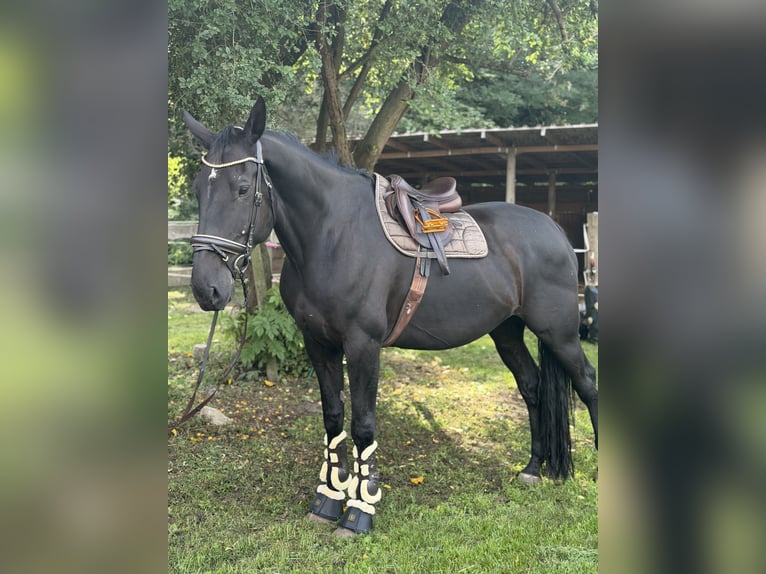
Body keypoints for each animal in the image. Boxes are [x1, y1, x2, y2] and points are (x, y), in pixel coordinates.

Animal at [182, 97, 598, 536]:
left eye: (243, 189)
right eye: (197, 189)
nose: (206, 288)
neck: (333, 236)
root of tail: (553, 229)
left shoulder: (363, 344)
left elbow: (363, 425)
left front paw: (359, 510)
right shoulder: (319, 343)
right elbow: (333, 418)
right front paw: (328, 499)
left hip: (559, 331)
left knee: (586, 383)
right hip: (507, 331)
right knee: (531, 386)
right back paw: (533, 467)